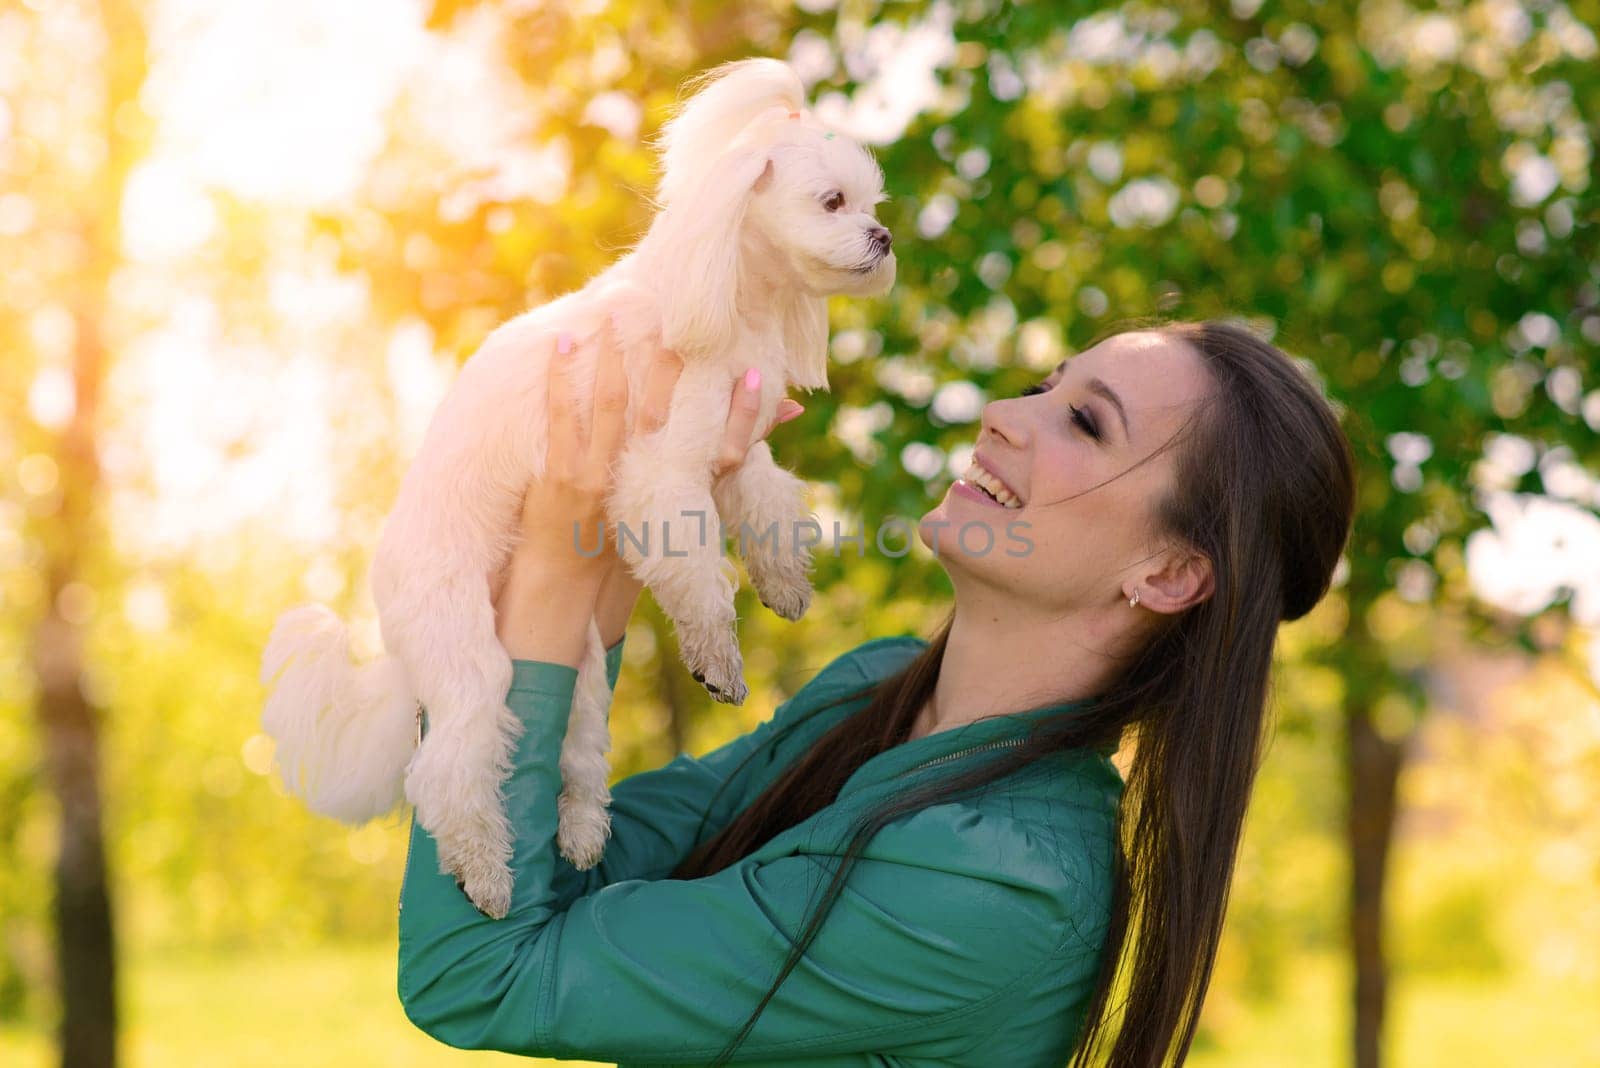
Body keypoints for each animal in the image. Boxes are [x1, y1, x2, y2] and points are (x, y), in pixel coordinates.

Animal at [256, 58, 896, 920]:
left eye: (873, 205)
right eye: (833, 202)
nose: (884, 238)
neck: (726, 294)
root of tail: (389, 622)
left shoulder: (735, 454)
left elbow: (769, 506)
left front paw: (786, 583)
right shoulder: (661, 473)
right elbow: (700, 575)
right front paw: (718, 658)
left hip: (583, 668)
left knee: (578, 751)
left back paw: (584, 833)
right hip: (467, 651)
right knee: (448, 769)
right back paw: (488, 875)